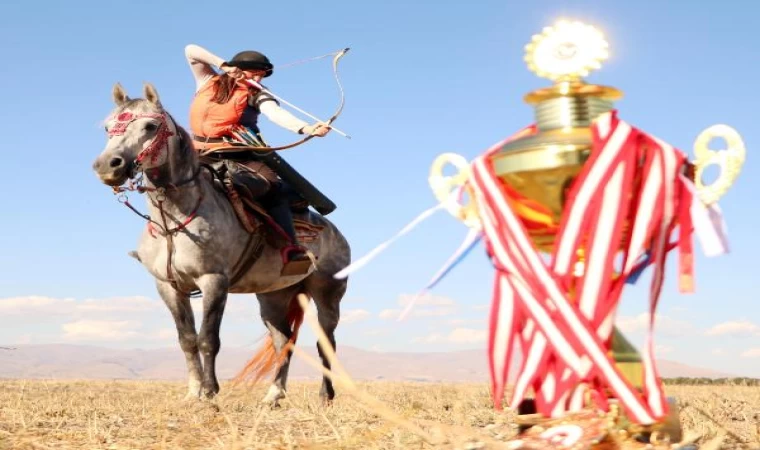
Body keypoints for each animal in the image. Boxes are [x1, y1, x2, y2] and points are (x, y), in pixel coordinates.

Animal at [91, 82, 350, 406]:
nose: (107, 165)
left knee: (326, 341)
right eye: (107, 127)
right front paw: (192, 392)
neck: (174, 220)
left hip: (328, 293)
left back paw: (325, 395)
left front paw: (210, 393)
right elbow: (187, 340)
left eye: (150, 126)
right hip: (273, 297)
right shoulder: (169, 286)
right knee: (282, 340)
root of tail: (334, 232)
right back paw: (273, 395)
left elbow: (208, 339)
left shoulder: (214, 280)